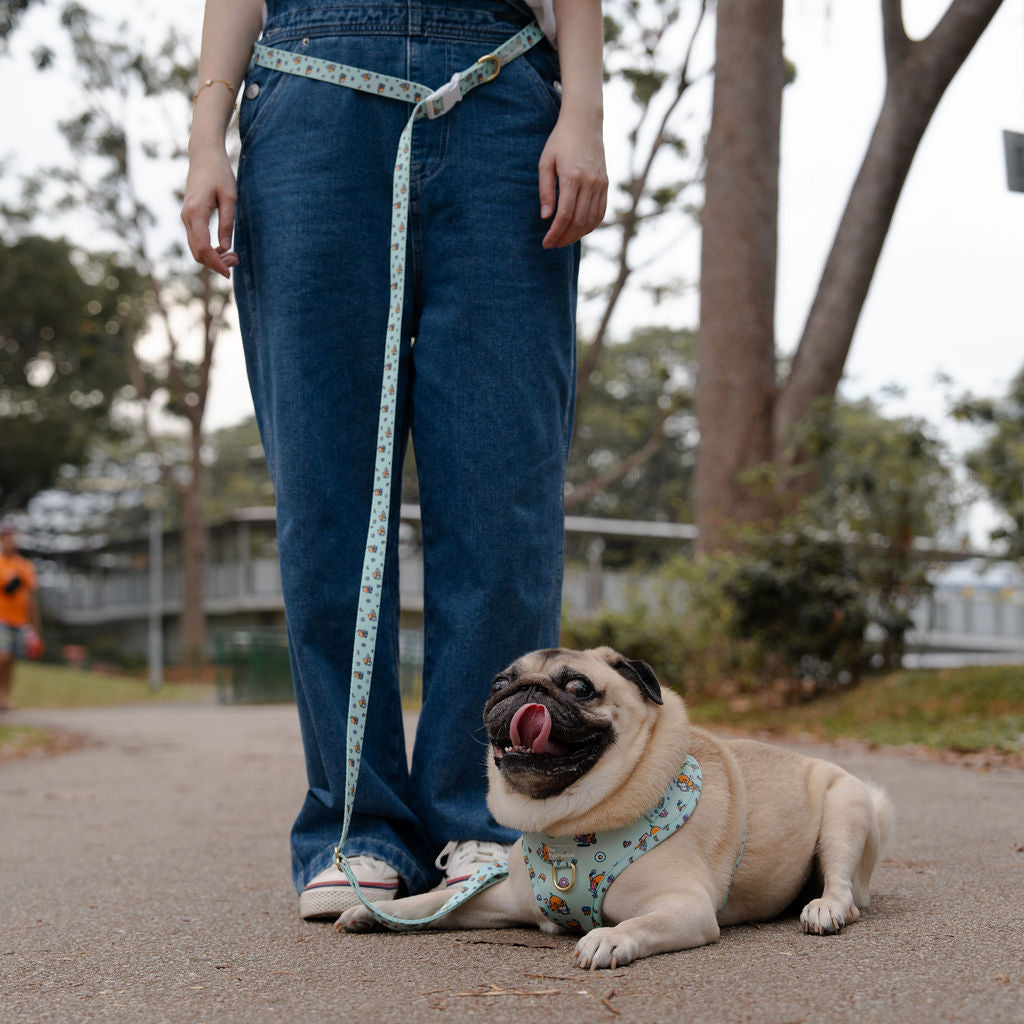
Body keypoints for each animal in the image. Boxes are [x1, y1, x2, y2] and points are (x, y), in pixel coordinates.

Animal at [339, 647, 892, 966]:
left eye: (578, 687)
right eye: (499, 684)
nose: (526, 691)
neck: (566, 827)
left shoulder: (684, 907)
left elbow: (640, 923)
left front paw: (609, 939)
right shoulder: (505, 901)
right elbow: (440, 902)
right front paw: (382, 912)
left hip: (845, 811)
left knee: (844, 890)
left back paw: (823, 908)